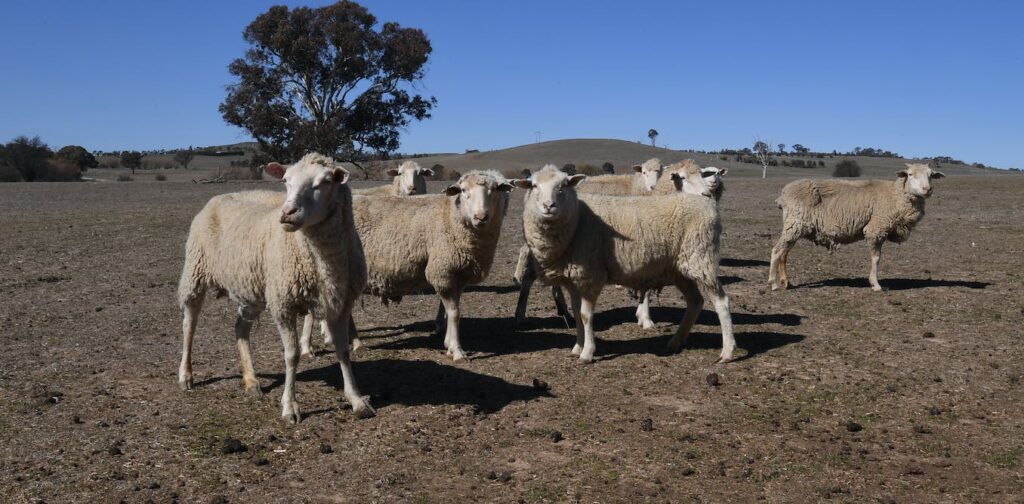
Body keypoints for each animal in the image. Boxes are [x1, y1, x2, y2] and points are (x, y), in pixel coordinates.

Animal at [178, 152, 374, 422]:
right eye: (285, 180)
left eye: (325, 182)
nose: (287, 212)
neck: (323, 261)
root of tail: (218, 197)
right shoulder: (283, 305)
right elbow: (291, 355)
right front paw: (290, 406)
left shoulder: (341, 304)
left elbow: (343, 350)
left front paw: (356, 399)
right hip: (195, 272)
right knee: (190, 324)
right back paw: (186, 375)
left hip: (252, 289)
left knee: (240, 329)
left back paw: (251, 381)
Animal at [301, 171, 512, 360]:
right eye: (463, 190)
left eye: (494, 190)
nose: (480, 217)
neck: (449, 216)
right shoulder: (442, 272)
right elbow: (454, 313)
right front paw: (457, 350)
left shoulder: (458, 276)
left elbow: (451, 311)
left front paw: (448, 343)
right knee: (312, 311)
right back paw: (307, 347)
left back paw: (355, 342)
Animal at [516, 163, 733, 362]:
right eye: (534, 185)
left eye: (563, 185)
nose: (548, 206)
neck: (577, 220)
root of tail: (708, 205)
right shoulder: (572, 280)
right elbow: (577, 314)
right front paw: (577, 347)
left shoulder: (590, 276)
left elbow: (586, 315)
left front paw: (587, 353)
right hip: (679, 269)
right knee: (695, 301)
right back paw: (675, 341)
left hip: (701, 258)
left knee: (721, 302)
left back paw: (727, 352)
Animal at [770, 163, 942, 290]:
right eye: (910, 174)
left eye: (931, 175)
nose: (927, 189)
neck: (895, 195)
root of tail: (783, 194)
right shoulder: (876, 228)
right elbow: (876, 258)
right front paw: (875, 284)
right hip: (794, 224)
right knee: (776, 251)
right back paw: (773, 283)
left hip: (795, 227)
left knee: (784, 253)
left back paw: (786, 282)